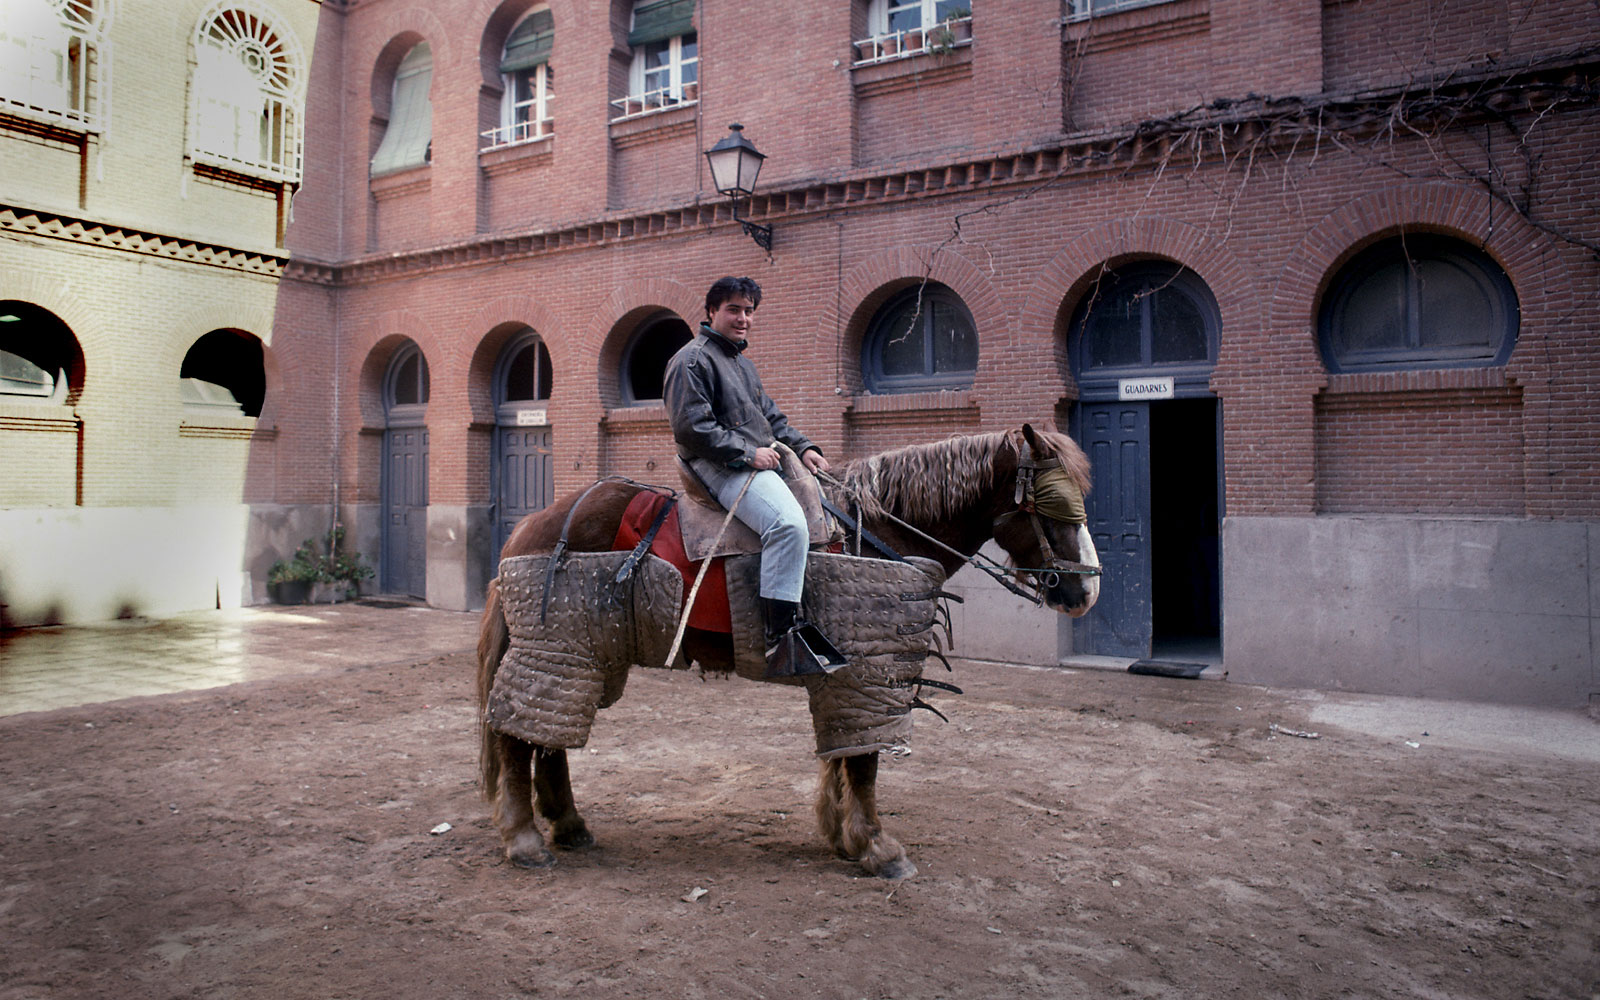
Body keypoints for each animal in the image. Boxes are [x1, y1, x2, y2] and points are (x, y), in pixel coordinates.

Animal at [474, 422, 1099, 879]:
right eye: (1051, 503)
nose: (1086, 591)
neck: (873, 534)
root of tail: (531, 527)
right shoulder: (865, 671)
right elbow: (866, 762)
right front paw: (876, 846)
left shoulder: (850, 676)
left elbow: (846, 756)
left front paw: (842, 833)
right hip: (557, 647)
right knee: (516, 738)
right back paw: (526, 839)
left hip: (587, 655)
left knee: (548, 739)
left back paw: (568, 824)